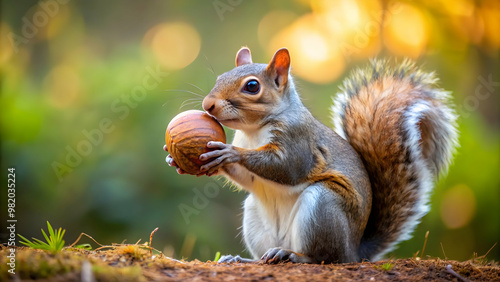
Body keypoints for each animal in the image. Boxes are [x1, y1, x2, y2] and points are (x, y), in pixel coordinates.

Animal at [164, 46, 458, 264]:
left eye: (252, 86)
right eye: (220, 77)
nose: (208, 105)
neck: (253, 131)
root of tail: (355, 251)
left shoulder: (299, 141)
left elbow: (286, 168)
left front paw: (231, 153)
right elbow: (248, 179)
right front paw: (173, 158)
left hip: (323, 206)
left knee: (325, 257)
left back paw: (294, 256)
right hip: (255, 218)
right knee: (264, 256)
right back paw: (243, 259)